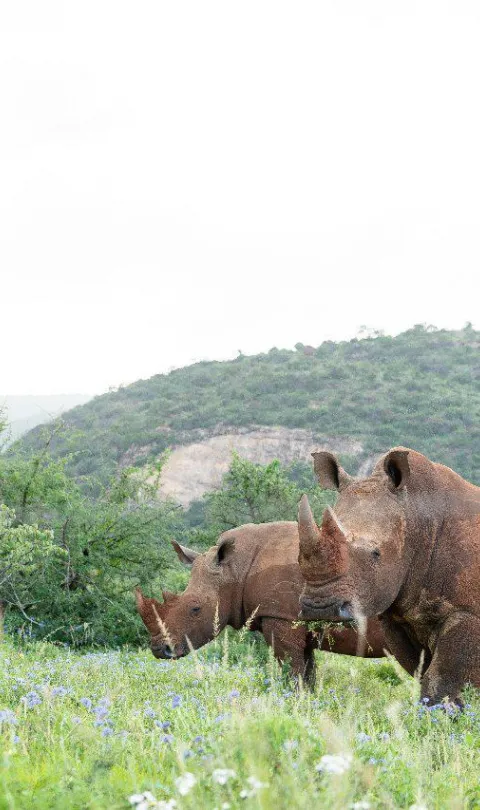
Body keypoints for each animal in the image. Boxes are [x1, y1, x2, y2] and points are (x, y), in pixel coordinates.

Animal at [134, 520, 386, 684]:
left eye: (195, 609)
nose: (160, 649)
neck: (236, 568)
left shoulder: (280, 616)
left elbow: (292, 672)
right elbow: (307, 674)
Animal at [298, 446, 480, 704]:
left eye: (376, 553)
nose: (320, 608)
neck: (416, 517)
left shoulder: (466, 612)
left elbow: (444, 680)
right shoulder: (398, 615)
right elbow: (423, 671)